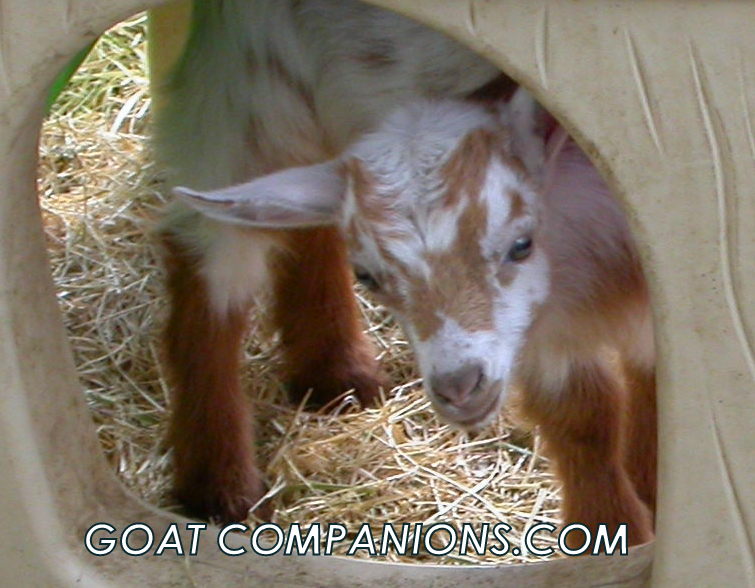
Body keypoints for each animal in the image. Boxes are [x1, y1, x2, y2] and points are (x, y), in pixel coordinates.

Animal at [175, 89, 657, 548]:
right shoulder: (548, 331)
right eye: (366, 275)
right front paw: (613, 532)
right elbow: (584, 417)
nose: (459, 387)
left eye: (522, 244)